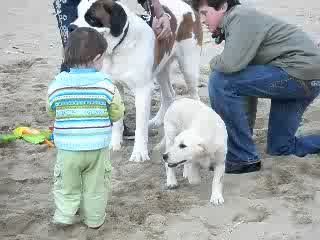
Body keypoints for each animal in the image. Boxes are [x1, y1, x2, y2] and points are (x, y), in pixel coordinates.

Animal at [69, 0, 202, 162]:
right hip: (160, 68)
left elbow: (140, 127)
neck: (119, 48)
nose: (71, 27)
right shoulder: (114, 87)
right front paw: (114, 144)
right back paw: (157, 120)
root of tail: (189, 8)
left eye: (92, 19)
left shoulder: (142, 91)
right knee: (169, 94)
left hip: (188, 67)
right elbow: (117, 121)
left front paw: (139, 153)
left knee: (194, 95)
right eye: (77, 15)